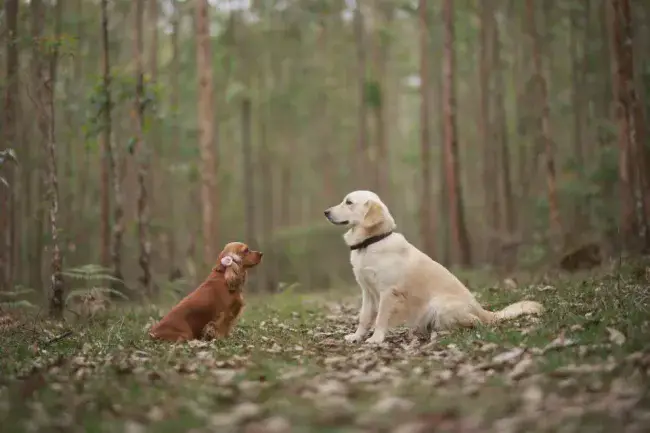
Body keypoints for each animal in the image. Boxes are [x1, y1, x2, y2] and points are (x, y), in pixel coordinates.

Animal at [322, 191, 540, 342]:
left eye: (349, 202)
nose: (325, 212)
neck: (371, 242)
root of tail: (483, 310)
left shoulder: (388, 292)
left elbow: (381, 318)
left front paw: (376, 338)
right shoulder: (367, 292)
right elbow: (364, 317)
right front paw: (356, 336)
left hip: (440, 305)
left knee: (475, 323)